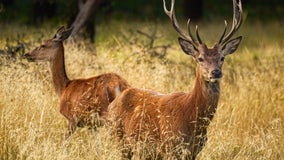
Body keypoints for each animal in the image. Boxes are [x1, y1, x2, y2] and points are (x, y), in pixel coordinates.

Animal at [107, 0, 243, 159]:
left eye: (222, 58)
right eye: (200, 58)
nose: (215, 72)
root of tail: (114, 101)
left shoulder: (194, 151)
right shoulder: (169, 147)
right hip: (120, 139)